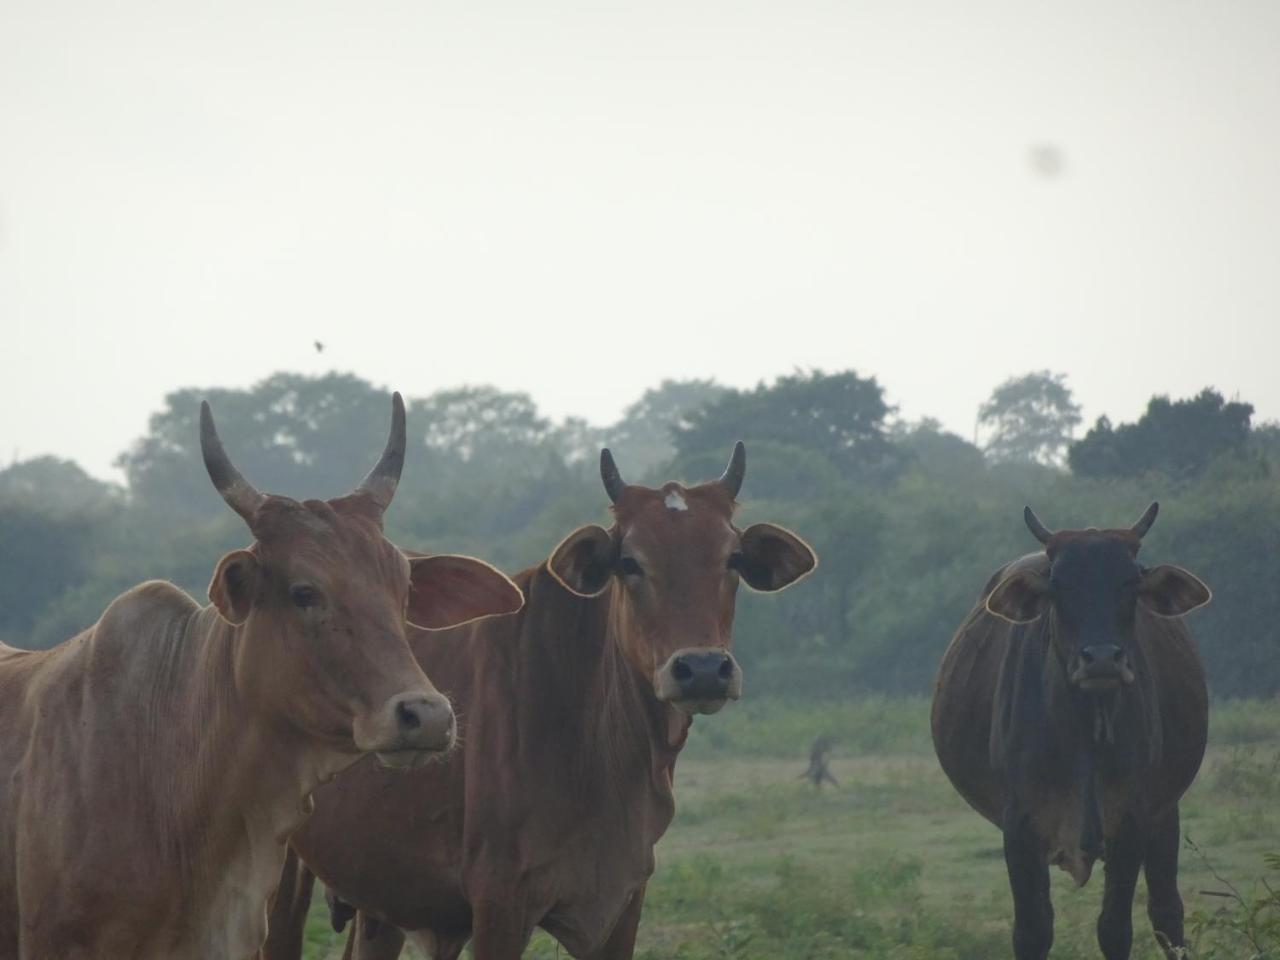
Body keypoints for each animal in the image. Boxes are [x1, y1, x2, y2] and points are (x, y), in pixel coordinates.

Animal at [931, 504, 1208, 960]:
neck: (1083, 733)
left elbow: (1115, 929)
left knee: (1167, 912)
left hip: (1166, 812)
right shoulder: (1019, 828)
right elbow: (1033, 931)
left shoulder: (1132, 821)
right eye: (1059, 586)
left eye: (1130, 583)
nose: (1102, 659)